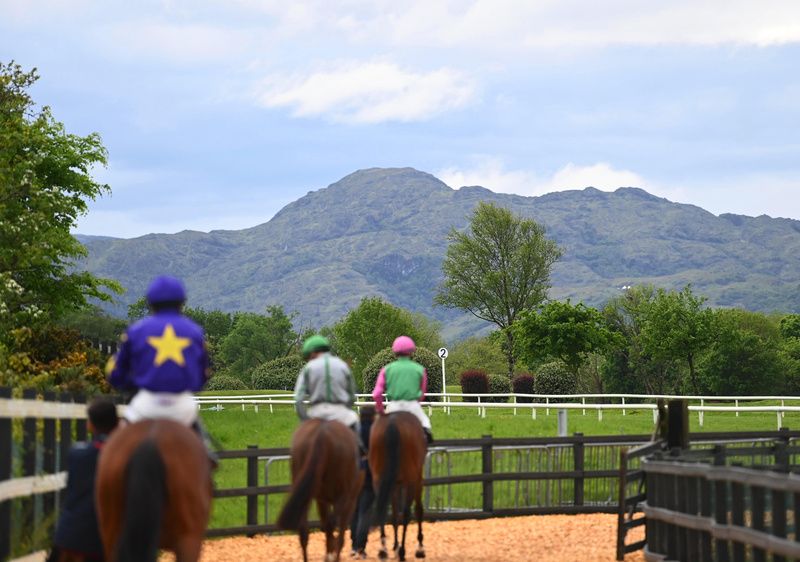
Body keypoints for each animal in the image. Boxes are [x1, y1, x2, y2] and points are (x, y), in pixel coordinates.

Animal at [370, 410, 428, 556]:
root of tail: (392, 424)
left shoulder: (394, 484)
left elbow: (395, 513)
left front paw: (395, 545)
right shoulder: (417, 480)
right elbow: (418, 509)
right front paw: (419, 545)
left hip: (378, 480)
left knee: (383, 509)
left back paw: (384, 548)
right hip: (411, 481)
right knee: (407, 512)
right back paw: (402, 550)